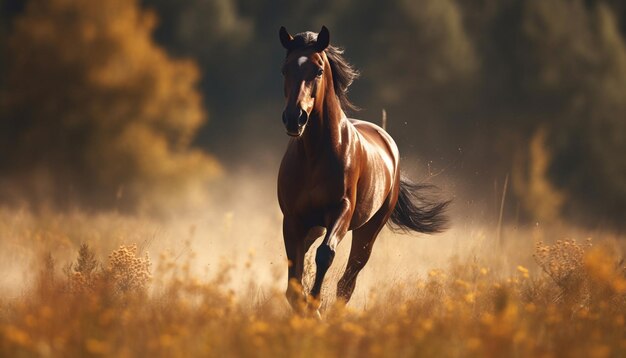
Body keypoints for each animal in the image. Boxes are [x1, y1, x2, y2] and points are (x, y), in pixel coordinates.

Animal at [276, 25, 446, 316]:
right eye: (286, 69)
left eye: (318, 70)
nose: (294, 118)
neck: (314, 155)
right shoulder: (293, 219)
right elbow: (293, 282)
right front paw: (305, 309)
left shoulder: (341, 211)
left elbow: (325, 255)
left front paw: (315, 307)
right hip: (313, 227)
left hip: (368, 231)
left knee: (347, 282)